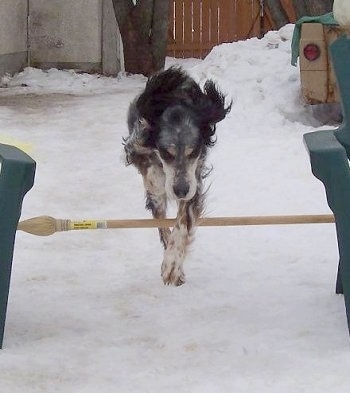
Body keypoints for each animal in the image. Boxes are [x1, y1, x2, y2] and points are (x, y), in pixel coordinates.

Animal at [123, 67, 232, 284]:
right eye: (167, 153)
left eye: (193, 151)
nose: (180, 190)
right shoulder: (137, 147)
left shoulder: (194, 182)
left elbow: (182, 224)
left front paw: (172, 263)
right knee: (161, 221)